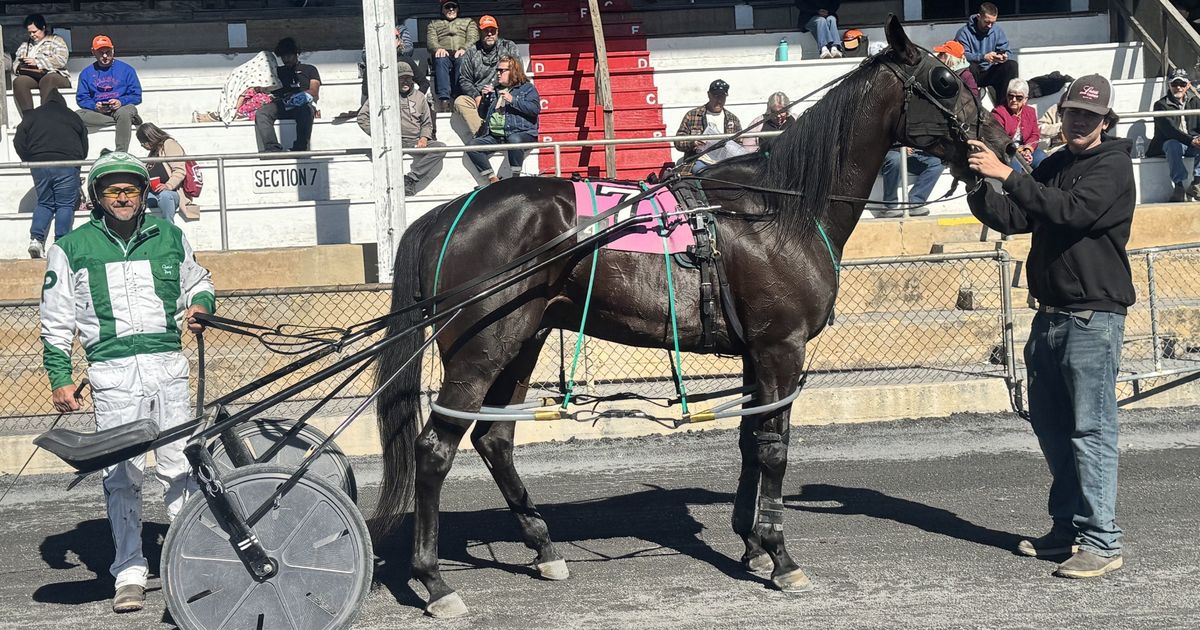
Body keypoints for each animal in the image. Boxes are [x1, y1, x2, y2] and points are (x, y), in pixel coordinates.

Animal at [372, 17, 1013, 618]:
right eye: (948, 80)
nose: (1004, 148)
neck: (776, 211)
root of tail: (450, 211)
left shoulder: (757, 354)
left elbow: (752, 442)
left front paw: (751, 544)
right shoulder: (781, 349)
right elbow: (775, 448)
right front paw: (781, 557)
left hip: (521, 341)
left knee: (495, 439)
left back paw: (542, 546)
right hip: (481, 350)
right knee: (434, 450)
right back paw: (434, 580)